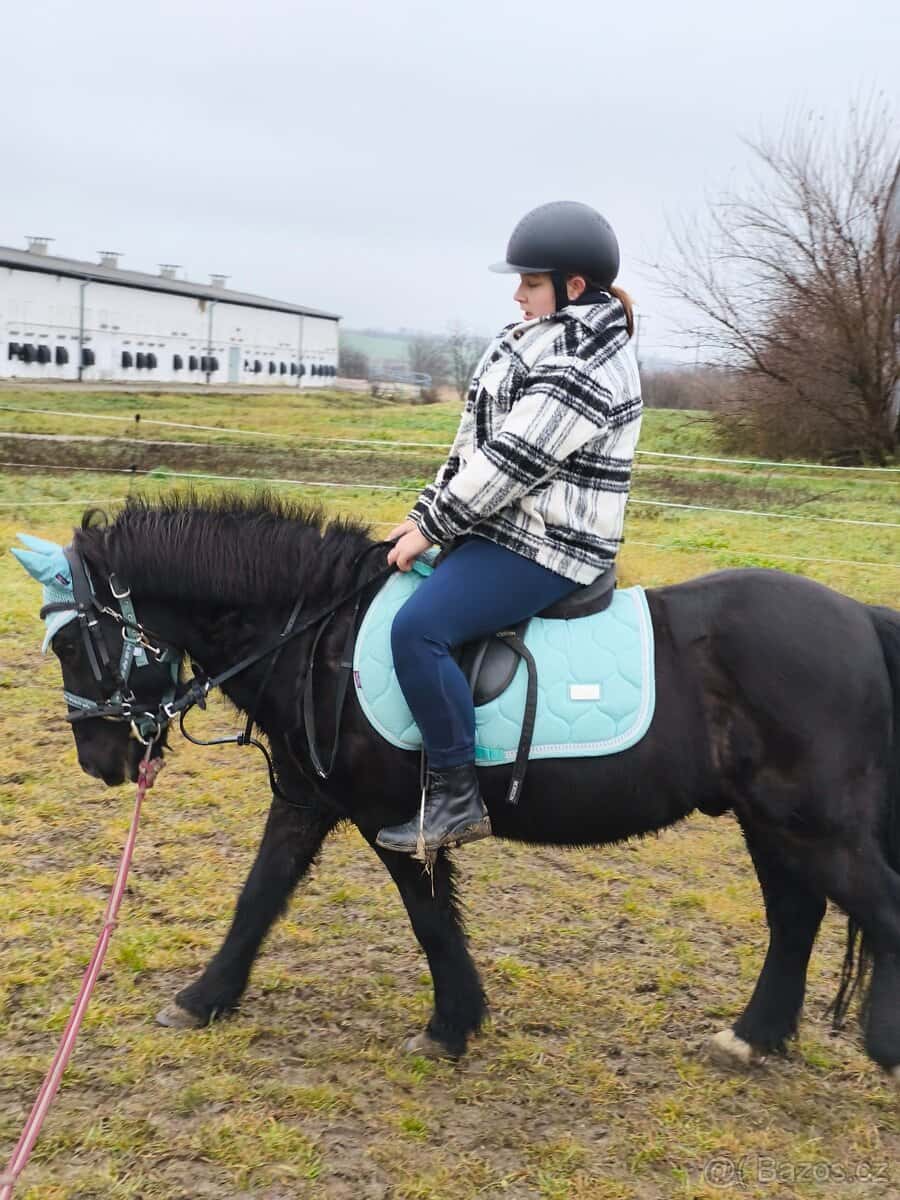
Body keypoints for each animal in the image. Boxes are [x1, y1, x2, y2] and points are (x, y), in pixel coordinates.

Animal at [13, 492, 900, 1089]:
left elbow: (429, 917)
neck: (320, 637)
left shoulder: (394, 819)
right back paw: (753, 1037)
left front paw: (450, 1025)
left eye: (72, 643)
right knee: (797, 919)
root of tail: (858, 616)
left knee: (872, 909)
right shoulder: (307, 800)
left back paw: (876, 1046)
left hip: (813, 825)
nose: (99, 761)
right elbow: (259, 896)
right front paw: (202, 999)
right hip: (770, 822)